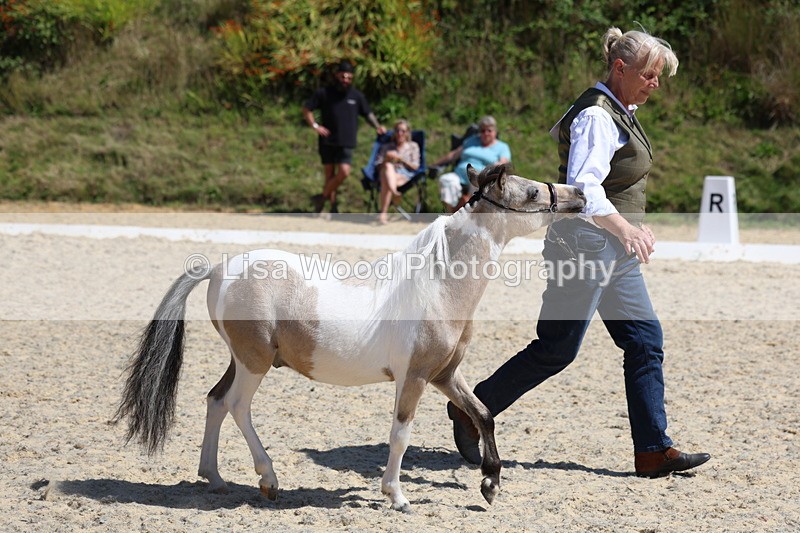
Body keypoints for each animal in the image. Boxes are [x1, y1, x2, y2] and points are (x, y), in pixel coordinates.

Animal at [114, 163, 586, 512]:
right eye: (531, 194)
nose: (579, 194)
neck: (437, 284)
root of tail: (218, 268)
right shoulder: (414, 378)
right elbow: (401, 434)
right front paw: (397, 496)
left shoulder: (445, 375)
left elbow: (483, 414)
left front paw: (490, 484)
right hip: (254, 363)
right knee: (235, 406)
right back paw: (269, 480)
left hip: (242, 360)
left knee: (214, 400)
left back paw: (213, 477)